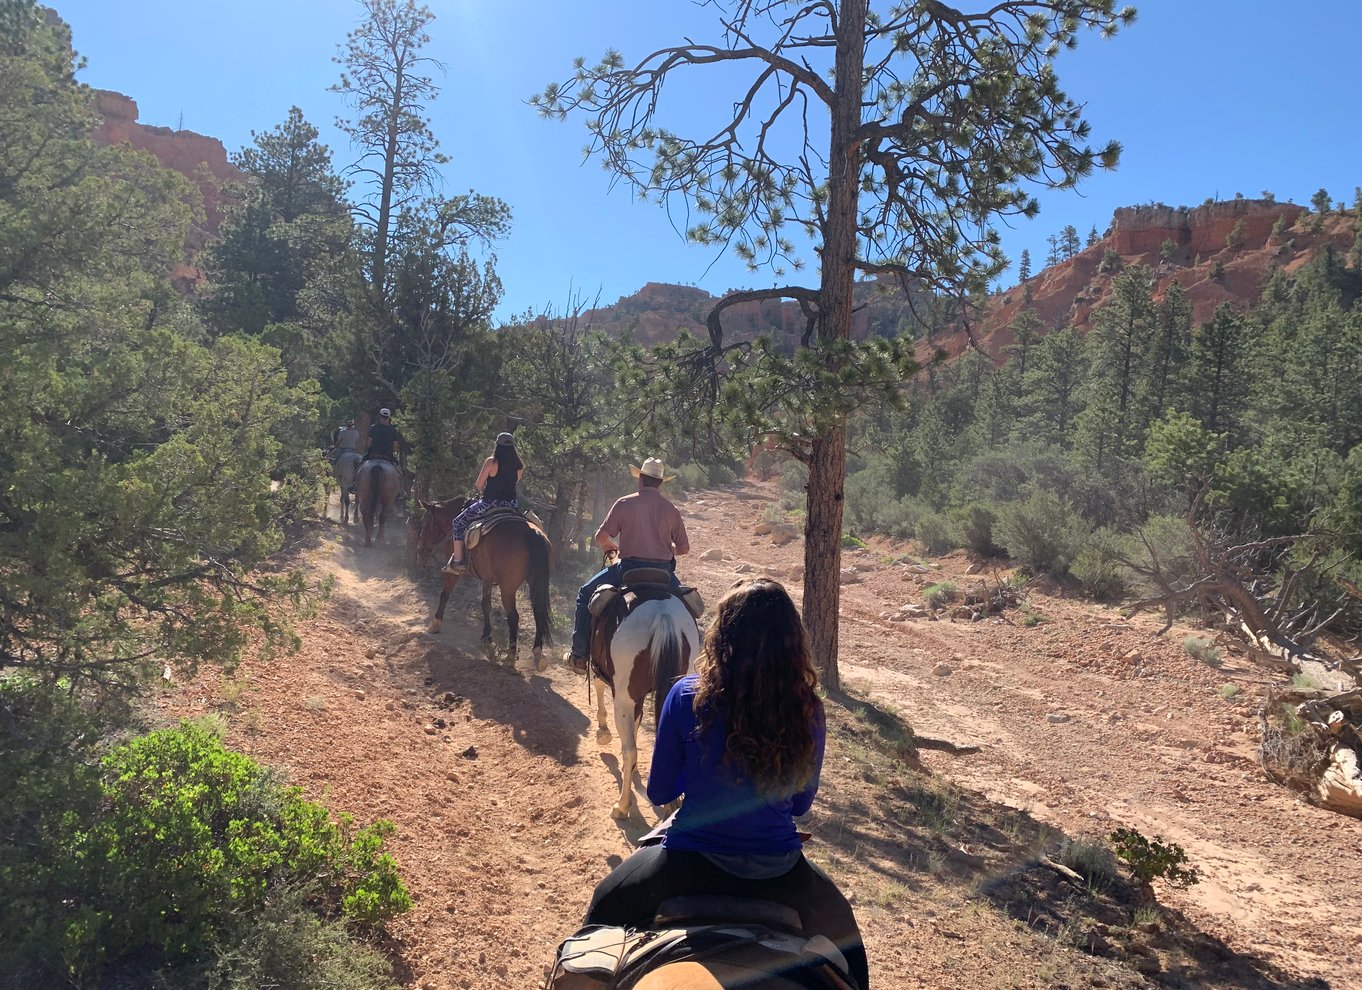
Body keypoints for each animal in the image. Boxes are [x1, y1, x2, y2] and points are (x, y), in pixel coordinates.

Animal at [411, 495, 550, 667]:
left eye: (424, 524)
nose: (420, 550)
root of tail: (532, 533)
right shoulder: (487, 579)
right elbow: (486, 605)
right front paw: (486, 636)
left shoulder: (455, 572)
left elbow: (445, 594)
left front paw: (436, 623)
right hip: (535, 584)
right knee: (538, 613)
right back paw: (537, 652)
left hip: (508, 587)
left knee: (513, 616)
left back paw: (510, 655)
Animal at [588, 580, 702, 822]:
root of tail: (663, 615)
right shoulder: (637, 698)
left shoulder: (612, 681)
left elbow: (599, 686)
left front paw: (603, 732)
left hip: (623, 698)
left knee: (629, 749)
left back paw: (621, 807)